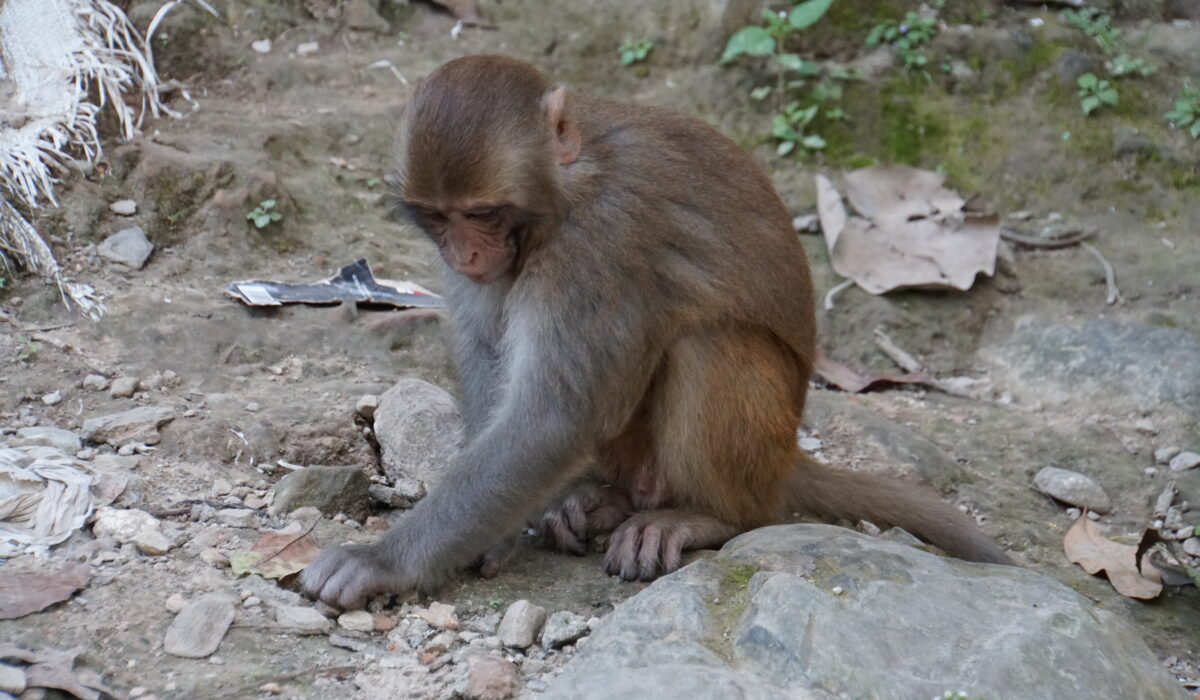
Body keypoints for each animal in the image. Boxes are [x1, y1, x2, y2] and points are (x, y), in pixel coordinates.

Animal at [301, 55, 1011, 609]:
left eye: (483, 212)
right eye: (437, 217)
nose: (466, 255)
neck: (564, 189)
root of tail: (785, 461)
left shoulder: (598, 243)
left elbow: (554, 418)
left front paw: (384, 561)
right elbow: (489, 359)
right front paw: (497, 530)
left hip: (759, 453)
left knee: (709, 347)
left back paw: (708, 517)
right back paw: (599, 502)